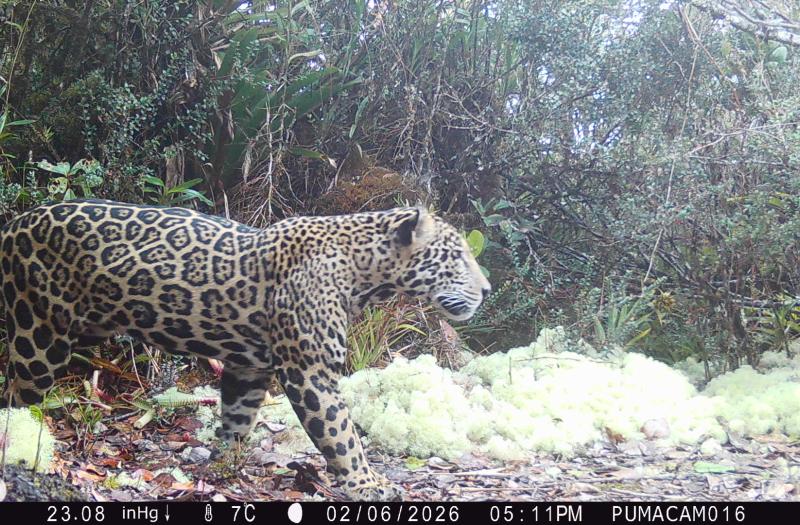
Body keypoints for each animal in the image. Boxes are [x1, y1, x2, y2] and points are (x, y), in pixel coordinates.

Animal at [0, 199, 490, 500]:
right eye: (458, 256)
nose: (487, 290)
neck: (364, 273)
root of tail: (15, 222)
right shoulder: (310, 371)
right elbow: (342, 435)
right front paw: (367, 483)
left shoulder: (249, 368)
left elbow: (238, 417)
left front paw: (224, 464)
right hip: (39, 334)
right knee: (18, 392)